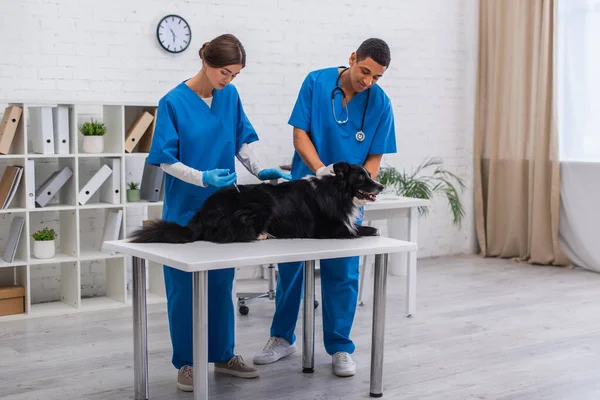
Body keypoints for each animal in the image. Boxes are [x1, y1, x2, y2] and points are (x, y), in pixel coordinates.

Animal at [131, 162, 384, 244]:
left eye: (369, 174)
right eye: (361, 177)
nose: (381, 186)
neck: (337, 191)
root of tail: (199, 218)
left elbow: (355, 226)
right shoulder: (326, 230)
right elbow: (354, 230)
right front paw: (371, 230)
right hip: (261, 204)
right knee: (234, 234)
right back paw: (263, 234)